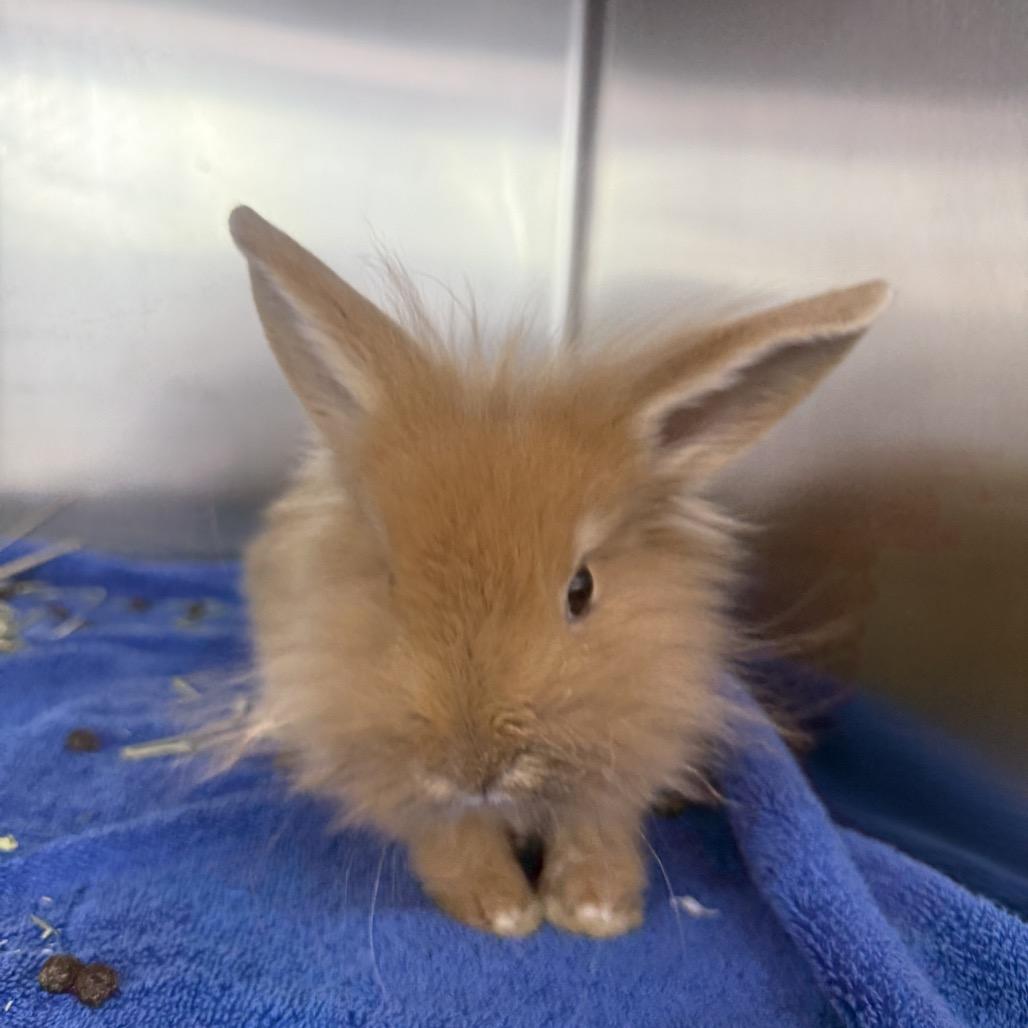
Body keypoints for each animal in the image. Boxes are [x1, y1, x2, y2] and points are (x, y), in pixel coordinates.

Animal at [228, 205, 890, 939]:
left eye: (582, 589)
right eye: (391, 583)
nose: (475, 768)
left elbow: (597, 824)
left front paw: (596, 909)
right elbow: (446, 834)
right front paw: (500, 909)